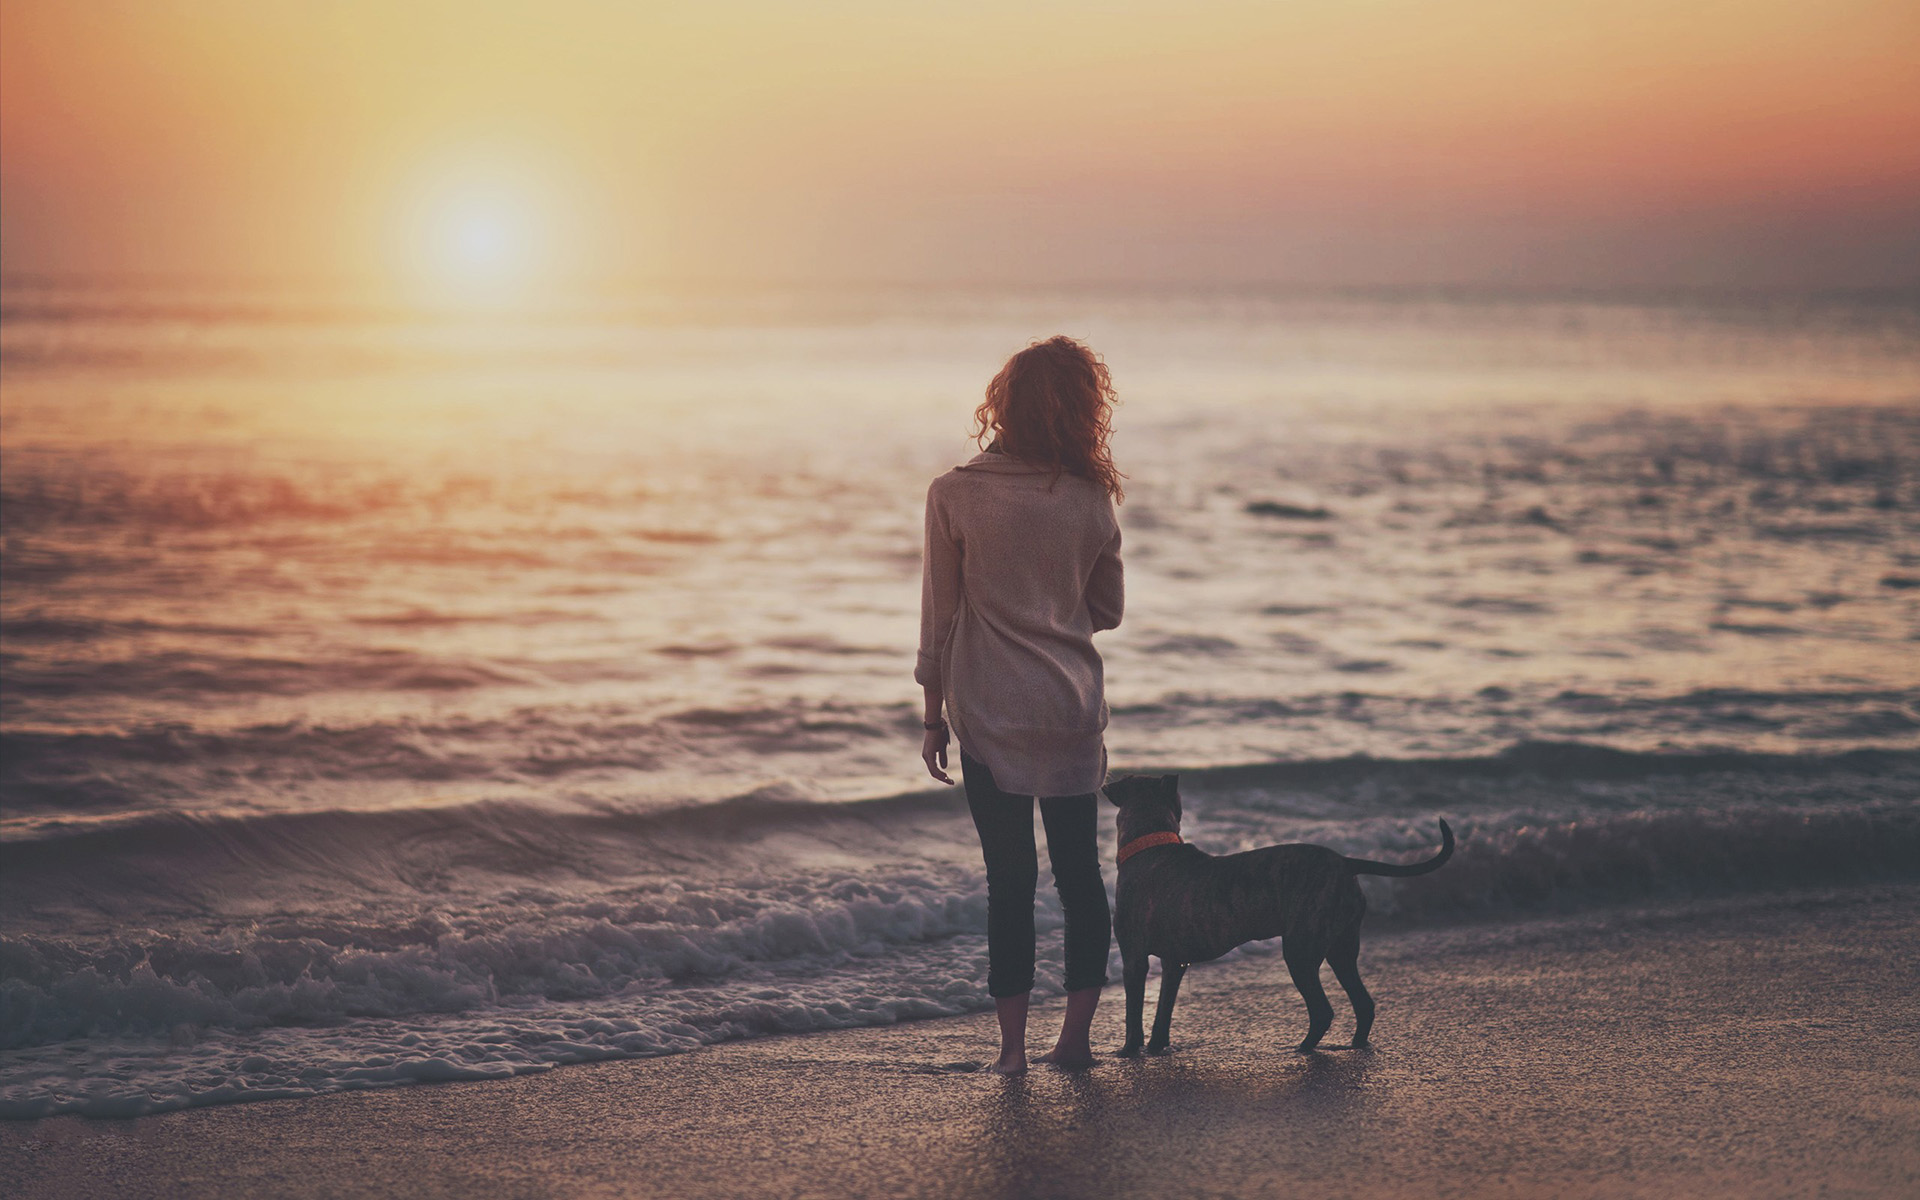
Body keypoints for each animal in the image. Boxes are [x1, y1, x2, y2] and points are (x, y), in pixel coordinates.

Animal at [1105, 771, 1443, 1052]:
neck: (1151, 845)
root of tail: (1346, 862)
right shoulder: (1174, 962)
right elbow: (1163, 1010)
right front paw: (1156, 1046)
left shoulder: (1134, 958)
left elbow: (1133, 1015)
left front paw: (1128, 1051)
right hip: (1341, 946)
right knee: (1363, 1002)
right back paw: (1355, 1044)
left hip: (1301, 949)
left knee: (1323, 1010)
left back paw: (1304, 1048)